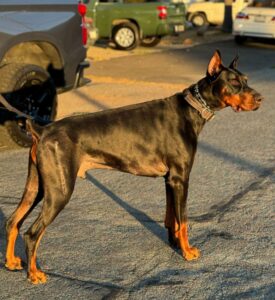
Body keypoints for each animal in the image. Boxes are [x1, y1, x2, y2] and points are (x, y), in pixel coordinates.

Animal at [4, 49, 264, 284]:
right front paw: (188, 251)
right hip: (59, 190)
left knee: (13, 221)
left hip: (37, 186)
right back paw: (34, 274)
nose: (260, 98)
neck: (192, 109)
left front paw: (174, 243)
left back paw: (11, 262)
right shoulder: (181, 177)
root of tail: (42, 130)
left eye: (246, 80)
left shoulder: (170, 179)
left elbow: (172, 217)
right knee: (32, 233)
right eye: (233, 83)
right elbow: (184, 220)